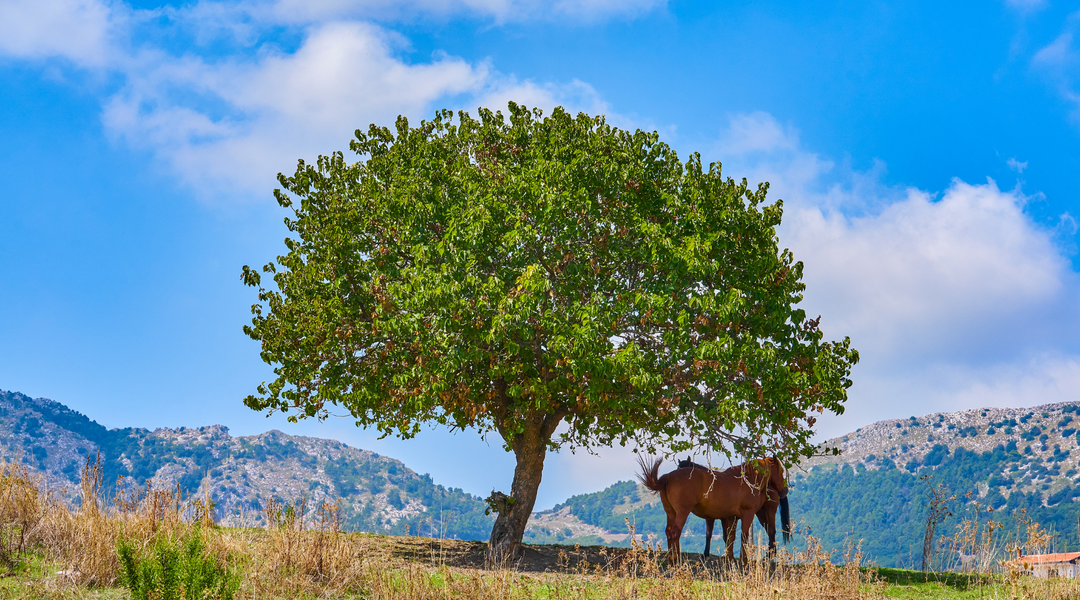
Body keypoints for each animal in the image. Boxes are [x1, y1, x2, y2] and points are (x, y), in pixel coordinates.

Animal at [638, 456, 788, 563]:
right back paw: (677, 561)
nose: (785, 490)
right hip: (682, 513)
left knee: (669, 533)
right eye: (781, 471)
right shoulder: (747, 515)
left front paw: (730, 560)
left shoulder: (730, 517)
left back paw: (671, 561)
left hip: (671, 513)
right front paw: (743, 561)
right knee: (675, 533)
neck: (748, 480)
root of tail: (667, 477)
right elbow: (742, 537)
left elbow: (730, 538)